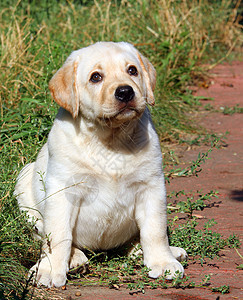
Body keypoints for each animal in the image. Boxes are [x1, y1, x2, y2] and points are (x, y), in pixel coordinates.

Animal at [14, 41, 186, 288]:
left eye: (132, 70)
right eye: (96, 77)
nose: (125, 91)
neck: (110, 140)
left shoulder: (151, 186)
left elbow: (155, 229)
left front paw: (163, 261)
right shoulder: (63, 190)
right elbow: (58, 234)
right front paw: (49, 269)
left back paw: (152, 251)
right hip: (25, 183)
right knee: (47, 235)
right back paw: (75, 259)